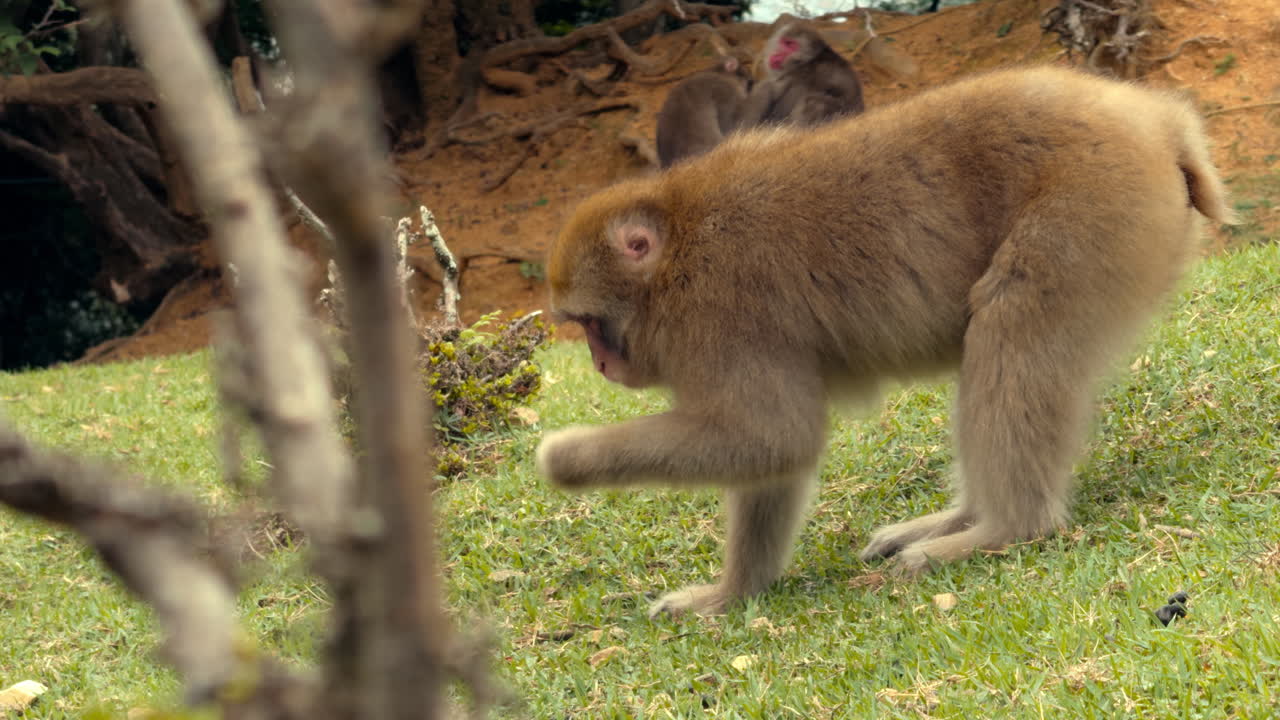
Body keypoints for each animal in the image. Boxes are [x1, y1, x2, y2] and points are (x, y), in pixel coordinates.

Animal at [536, 65, 1233, 618]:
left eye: (589, 324)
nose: (600, 364)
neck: (675, 252)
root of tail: (1153, 119)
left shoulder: (720, 318)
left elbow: (772, 436)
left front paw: (565, 458)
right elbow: (772, 453)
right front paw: (733, 593)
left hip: (1094, 206)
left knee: (1010, 323)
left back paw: (1005, 529)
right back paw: (964, 516)